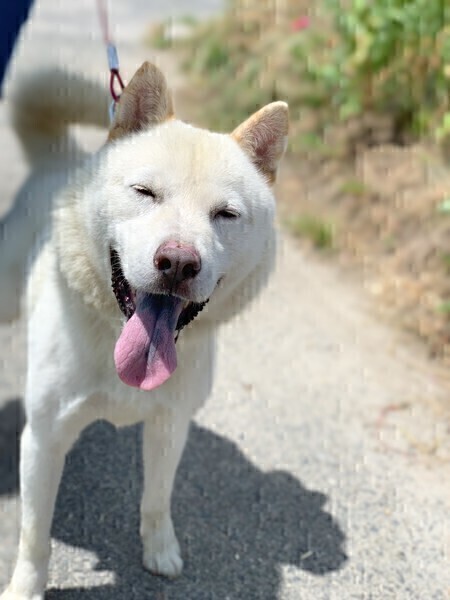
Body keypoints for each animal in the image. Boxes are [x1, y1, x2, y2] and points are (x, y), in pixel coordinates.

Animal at [0, 61, 288, 598]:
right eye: (145, 193)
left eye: (225, 214)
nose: (178, 262)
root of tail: (58, 159)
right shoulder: (44, 438)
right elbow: (34, 535)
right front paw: (26, 588)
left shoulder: (170, 426)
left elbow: (157, 500)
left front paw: (160, 551)